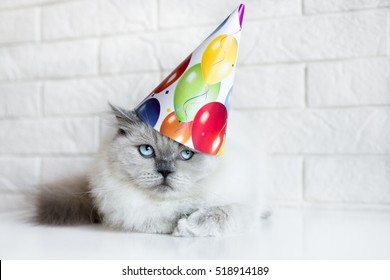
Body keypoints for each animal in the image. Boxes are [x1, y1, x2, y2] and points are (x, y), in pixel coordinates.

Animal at [35, 103, 268, 236]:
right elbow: (161, 219)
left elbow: (217, 215)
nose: (165, 172)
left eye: (186, 154)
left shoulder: (245, 206)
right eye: (147, 150)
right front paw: (180, 224)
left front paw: (187, 226)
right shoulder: (130, 214)